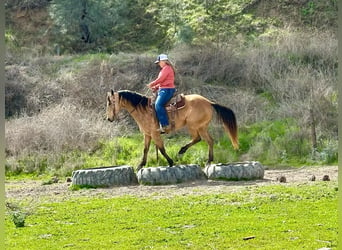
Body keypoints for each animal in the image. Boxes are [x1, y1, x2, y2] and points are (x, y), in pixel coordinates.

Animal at [106, 89, 238, 170]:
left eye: (110, 103)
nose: (108, 118)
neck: (143, 109)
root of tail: (209, 102)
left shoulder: (155, 134)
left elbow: (161, 149)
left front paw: (170, 162)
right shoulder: (147, 134)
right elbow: (145, 149)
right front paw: (140, 165)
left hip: (195, 126)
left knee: (206, 140)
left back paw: (207, 161)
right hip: (200, 127)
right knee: (202, 139)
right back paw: (183, 151)